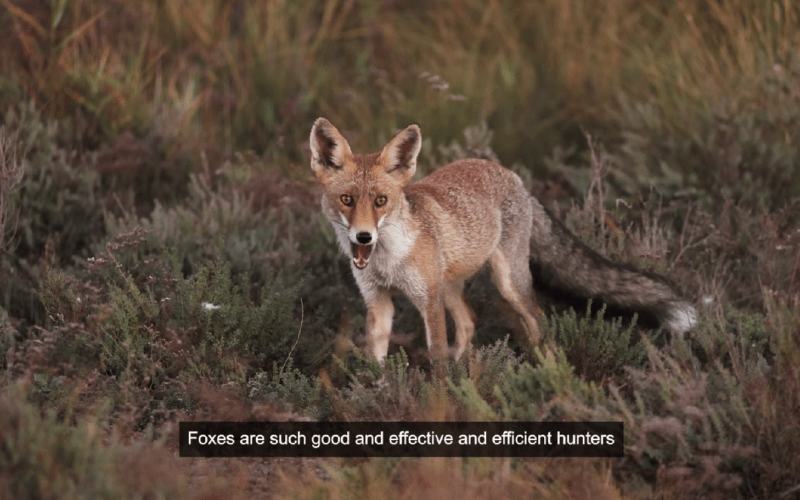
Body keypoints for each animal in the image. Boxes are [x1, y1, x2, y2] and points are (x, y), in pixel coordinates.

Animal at [309, 118, 697, 361]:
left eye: (380, 201)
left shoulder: (427, 302)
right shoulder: (378, 302)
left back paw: (551, 374)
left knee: (539, 323)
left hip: (508, 283)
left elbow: (437, 361)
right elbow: (376, 362)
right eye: (347, 200)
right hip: (450, 286)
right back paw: (468, 372)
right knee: (469, 320)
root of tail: (513, 176)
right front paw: (379, 394)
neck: (388, 259)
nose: (363, 235)